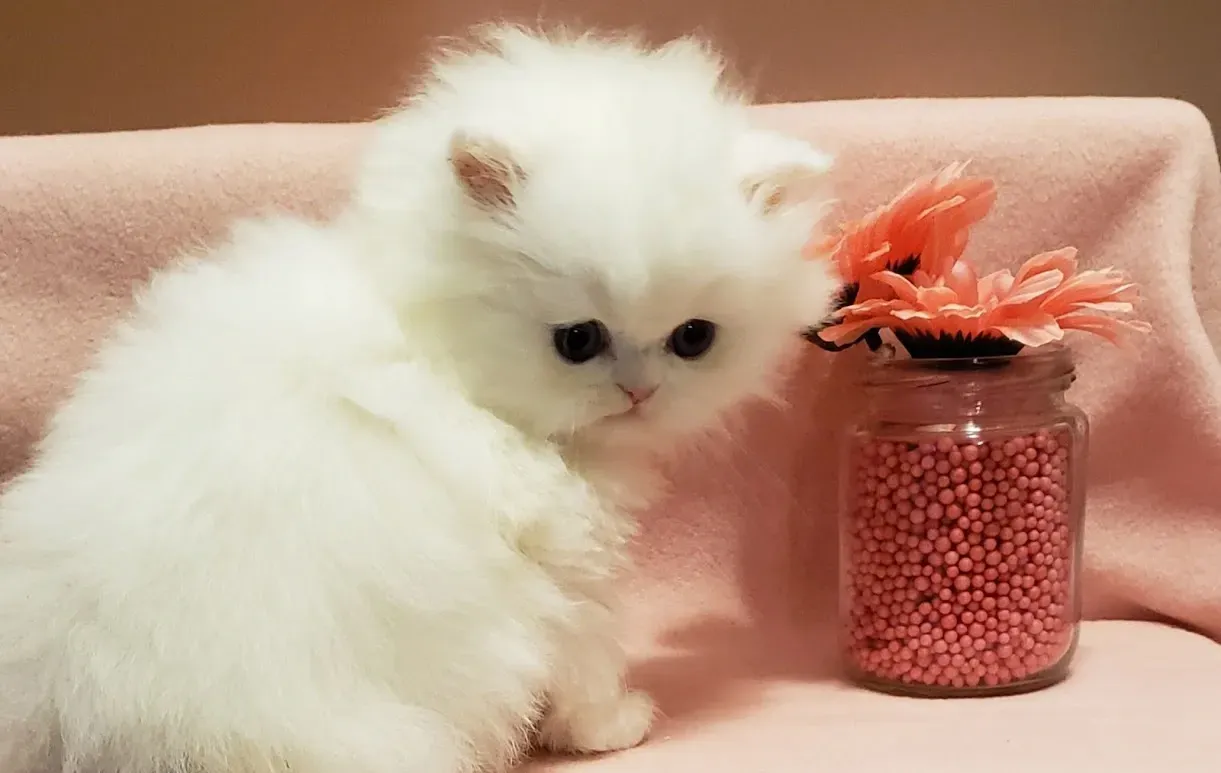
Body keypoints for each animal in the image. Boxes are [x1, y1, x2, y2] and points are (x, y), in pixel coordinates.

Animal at [0, 24, 835, 771]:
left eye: (693, 338)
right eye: (577, 340)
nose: (638, 391)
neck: (436, 348)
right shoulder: (566, 563)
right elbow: (588, 657)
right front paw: (610, 728)